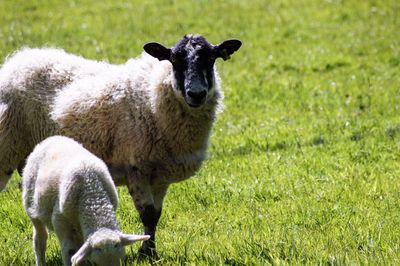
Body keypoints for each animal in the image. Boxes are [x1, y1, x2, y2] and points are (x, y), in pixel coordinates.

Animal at [21, 136, 148, 264]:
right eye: (96, 264)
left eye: (122, 261)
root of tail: (51, 139)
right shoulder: (60, 221)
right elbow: (69, 250)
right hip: (31, 205)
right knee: (40, 239)